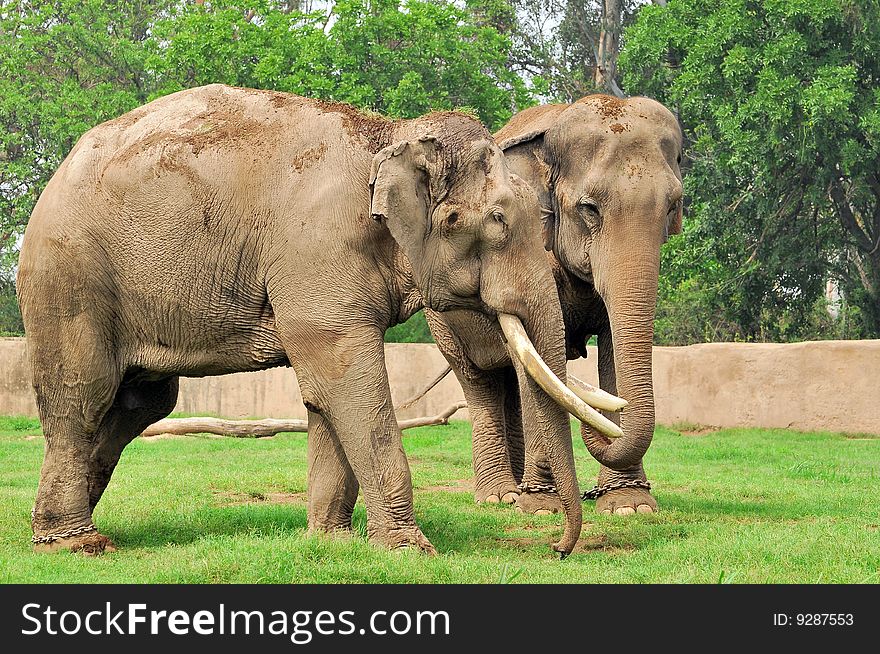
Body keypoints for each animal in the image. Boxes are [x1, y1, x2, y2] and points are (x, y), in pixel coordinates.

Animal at [18, 84, 612, 560]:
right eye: (498, 220)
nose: (557, 548)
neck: (388, 136)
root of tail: (54, 177)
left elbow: (325, 396)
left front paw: (333, 541)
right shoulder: (315, 251)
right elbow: (343, 377)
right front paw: (411, 552)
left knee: (140, 402)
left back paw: (60, 520)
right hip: (70, 281)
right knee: (85, 395)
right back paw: (76, 543)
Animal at [422, 95, 684, 516]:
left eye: (673, 206)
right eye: (589, 208)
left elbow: (612, 346)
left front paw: (629, 504)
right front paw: (542, 506)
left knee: (511, 382)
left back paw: (514, 490)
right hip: (440, 319)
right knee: (480, 382)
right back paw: (499, 496)